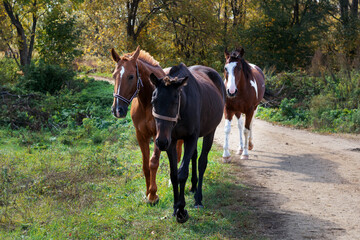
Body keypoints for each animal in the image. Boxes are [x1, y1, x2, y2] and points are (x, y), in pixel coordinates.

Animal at [110, 47, 184, 204]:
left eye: (131, 76)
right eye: (114, 75)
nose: (117, 110)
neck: (147, 103)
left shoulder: (158, 135)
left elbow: (153, 163)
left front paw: (153, 195)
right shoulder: (141, 135)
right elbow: (145, 165)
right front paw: (147, 192)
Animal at [149, 63, 225, 223]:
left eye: (175, 100)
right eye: (153, 101)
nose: (161, 141)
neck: (183, 107)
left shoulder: (191, 138)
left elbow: (182, 173)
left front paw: (182, 209)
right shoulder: (172, 141)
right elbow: (174, 174)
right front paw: (175, 208)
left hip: (210, 132)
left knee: (202, 162)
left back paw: (198, 199)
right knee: (194, 157)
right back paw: (193, 186)